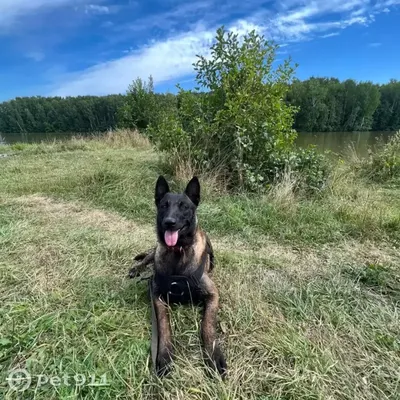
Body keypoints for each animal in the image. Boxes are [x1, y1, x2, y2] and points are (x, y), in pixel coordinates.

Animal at [129, 176, 227, 378]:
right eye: (163, 205)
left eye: (184, 206)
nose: (169, 222)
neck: (178, 252)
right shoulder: (157, 296)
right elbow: (164, 325)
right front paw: (164, 356)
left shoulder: (213, 294)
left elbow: (207, 325)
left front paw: (214, 355)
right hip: (154, 251)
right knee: (147, 257)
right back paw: (136, 269)